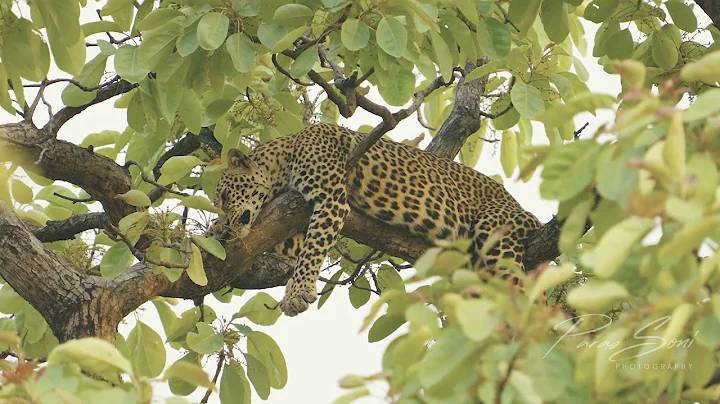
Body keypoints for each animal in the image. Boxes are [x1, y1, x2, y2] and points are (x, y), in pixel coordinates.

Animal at [211, 123, 542, 317]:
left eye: (225, 196)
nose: (225, 230)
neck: (286, 153)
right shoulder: (293, 223)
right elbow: (295, 246)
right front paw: (211, 234)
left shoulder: (330, 199)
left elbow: (312, 251)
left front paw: (296, 293)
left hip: (495, 231)